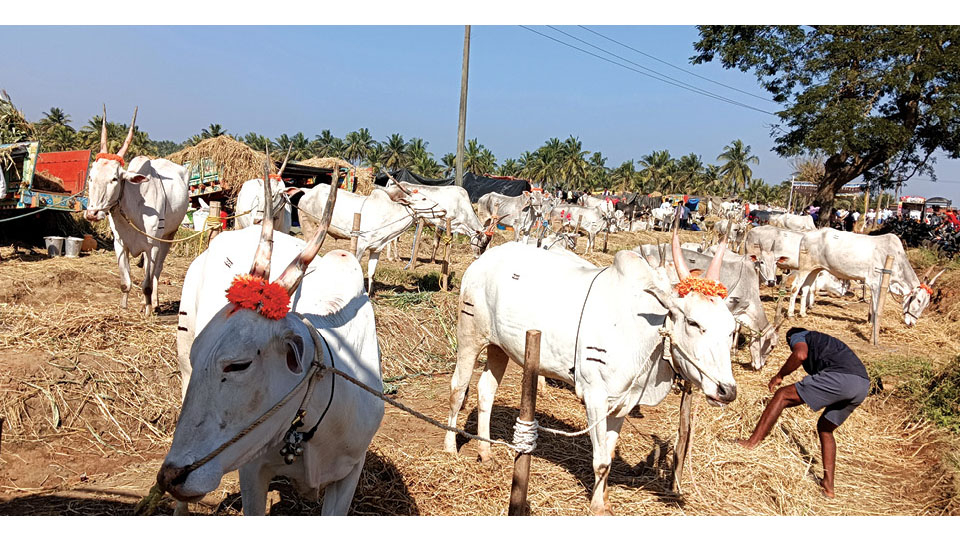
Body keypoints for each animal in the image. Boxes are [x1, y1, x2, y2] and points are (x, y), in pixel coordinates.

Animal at [83, 107, 188, 314]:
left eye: (115, 178)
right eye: (91, 177)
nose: (92, 213)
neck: (135, 208)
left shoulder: (152, 245)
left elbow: (147, 283)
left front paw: (148, 310)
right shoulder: (119, 244)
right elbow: (125, 282)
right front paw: (123, 308)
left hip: (168, 236)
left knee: (156, 272)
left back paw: (153, 303)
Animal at [446, 232, 740, 516]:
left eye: (731, 329)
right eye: (693, 322)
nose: (727, 390)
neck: (643, 329)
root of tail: (483, 260)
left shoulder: (623, 402)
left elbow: (607, 455)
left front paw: (603, 501)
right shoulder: (595, 396)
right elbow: (600, 460)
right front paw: (598, 508)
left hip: (499, 347)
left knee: (486, 392)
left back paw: (486, 454)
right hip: (469, 336)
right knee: (458, 390)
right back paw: (450, 448)